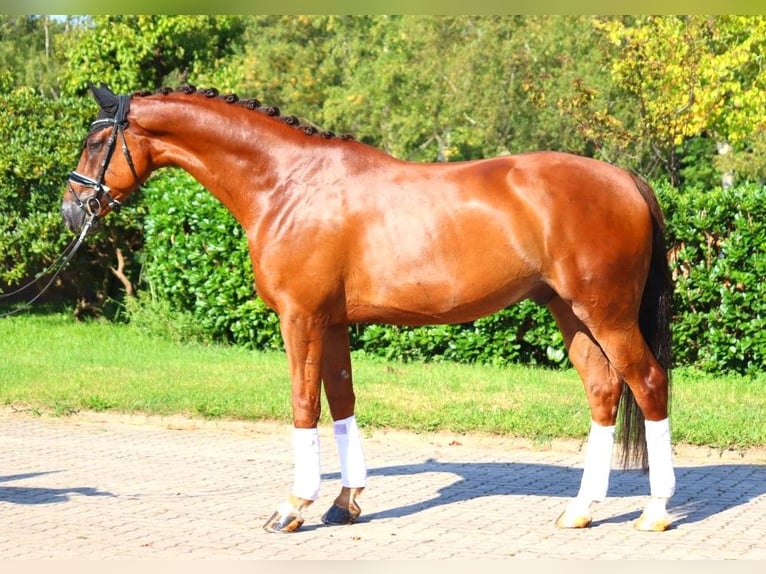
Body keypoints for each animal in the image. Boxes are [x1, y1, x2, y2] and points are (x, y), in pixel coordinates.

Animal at [63, 84, 680, 536]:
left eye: (96, 142)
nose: (72, 211)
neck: (287, 183)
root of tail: (625, 178)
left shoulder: (301, 318)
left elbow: (304, 404)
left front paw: (293, 507)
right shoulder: (332, 322)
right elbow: (342, 401)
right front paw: (345, 502)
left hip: (606, 313)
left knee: (648, 382)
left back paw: (654, 511)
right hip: (570, 313)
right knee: (604, 390)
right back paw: (580, 510)